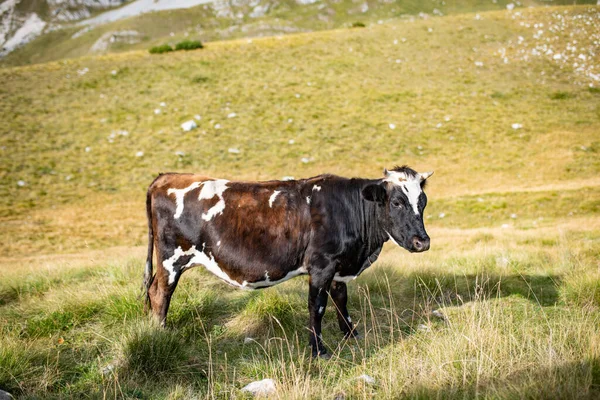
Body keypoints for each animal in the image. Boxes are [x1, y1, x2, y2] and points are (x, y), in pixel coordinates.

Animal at [143, 164, 434, 358]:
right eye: (396, 202)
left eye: (423, 202)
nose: (423, 242)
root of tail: (166, 176)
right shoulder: (321, 265)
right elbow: (317, 307)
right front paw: (318, 350)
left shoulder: (339, 266)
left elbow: (341, 299)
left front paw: (351, 333)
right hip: (171, 259)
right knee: (160, 293)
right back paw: (160, 332)